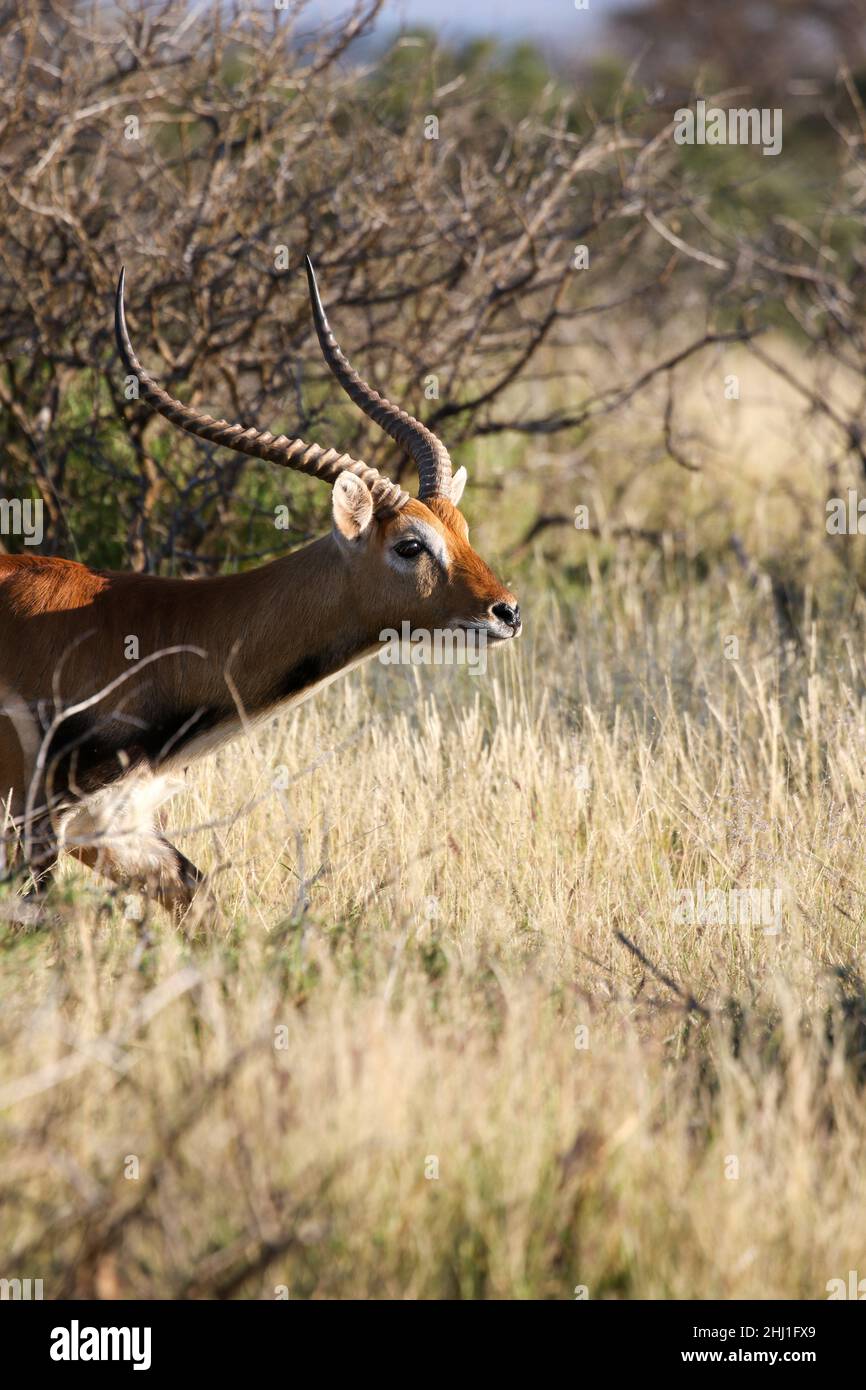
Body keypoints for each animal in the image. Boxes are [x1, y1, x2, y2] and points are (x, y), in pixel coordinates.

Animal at [0, 261, 522, 917]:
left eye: (463, 530)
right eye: (410, 544)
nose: (507, 612)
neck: (147, 630)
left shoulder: (116, 829)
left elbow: (201, 899)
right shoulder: (33, 827)